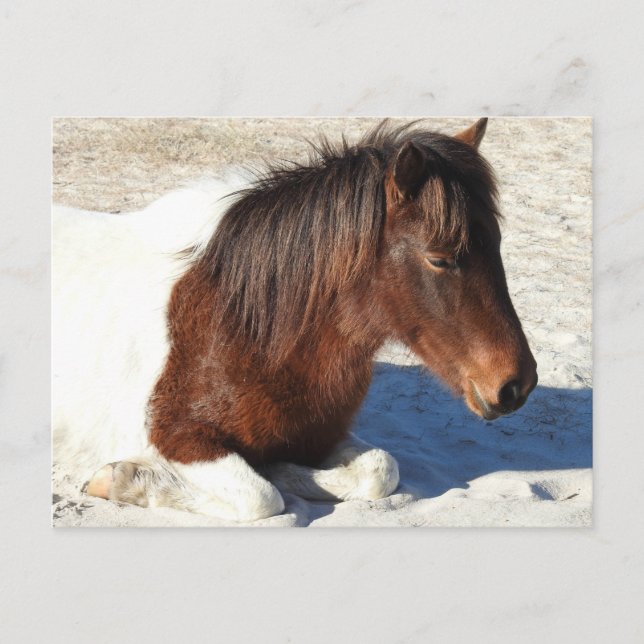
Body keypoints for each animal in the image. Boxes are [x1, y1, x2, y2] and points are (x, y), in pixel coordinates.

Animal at [52, 118, 538, 522]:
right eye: (439, 258)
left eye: (497, 244)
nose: (516, 386)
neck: (243, 327)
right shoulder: (179, 441)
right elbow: (259, 497)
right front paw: (124, 480)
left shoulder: (324, 434)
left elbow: (380, 470)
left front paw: (281, 467)